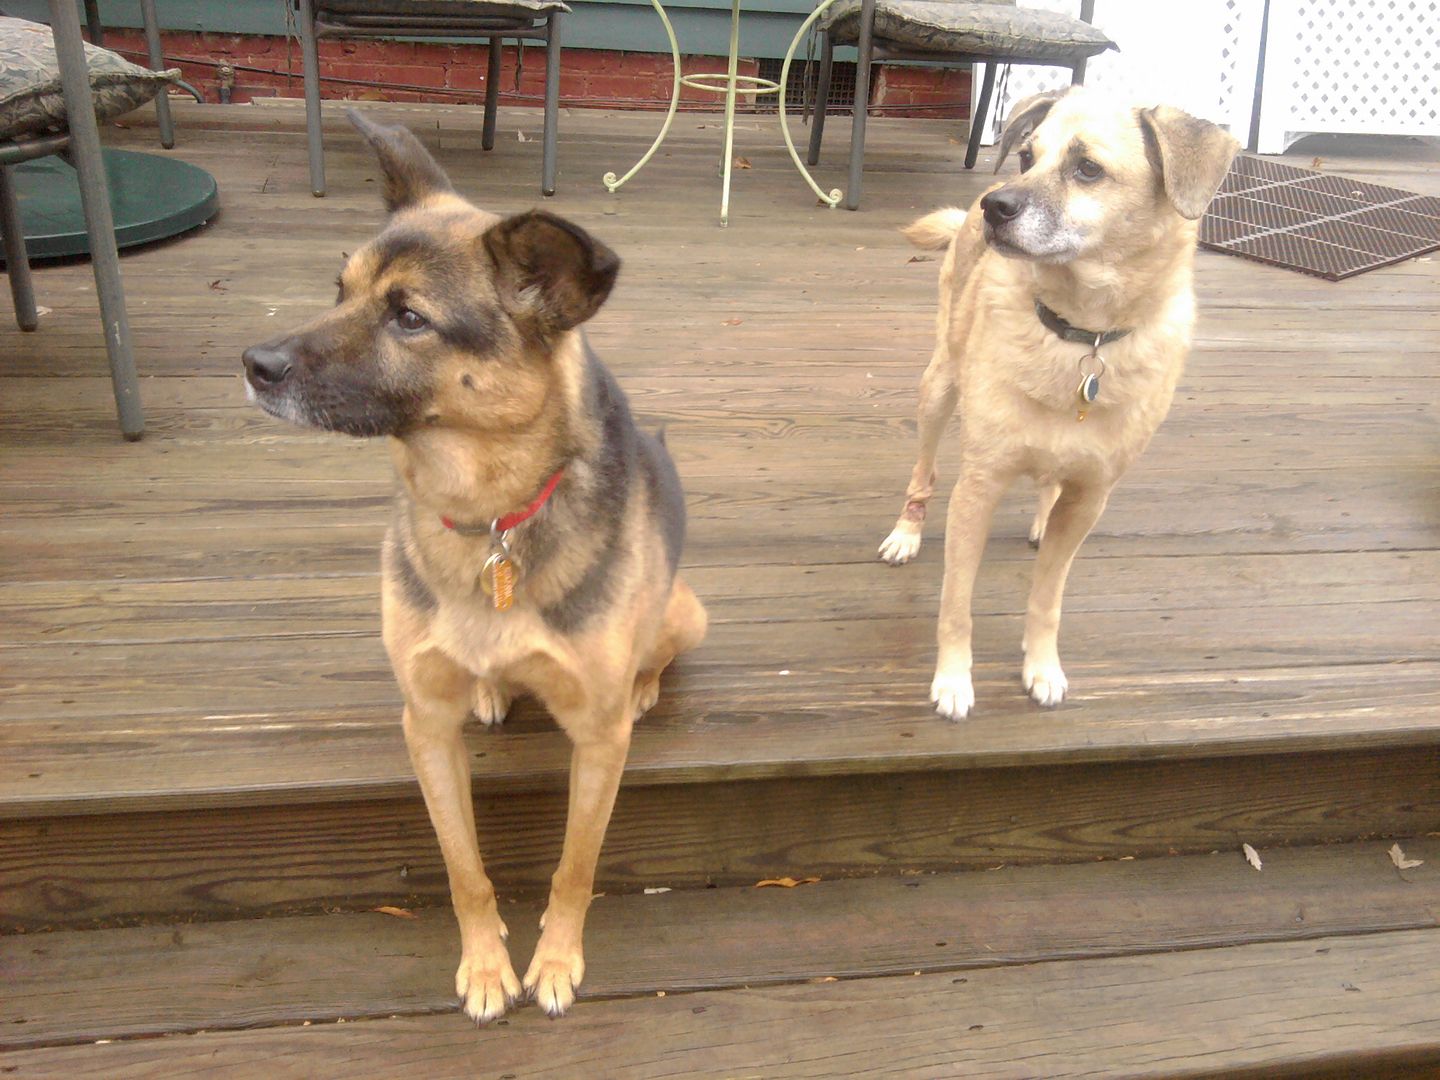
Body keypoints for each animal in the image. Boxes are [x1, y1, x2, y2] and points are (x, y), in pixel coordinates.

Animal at [244, 112, 705, 1025]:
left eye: (409, 317)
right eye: (338, 288)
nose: (254, 364)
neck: (489, 513)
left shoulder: (598, 743)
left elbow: (575, 868)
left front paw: (554, 961)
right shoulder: (424, 724)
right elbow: (464, 870)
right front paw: (488, 966)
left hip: (688, 611)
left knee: (656, 652)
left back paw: (644, 681)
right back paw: (492, 689)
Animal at [875, 88, 1238, 722]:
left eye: (1087, 168)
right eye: (1026, 156)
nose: (994, 206)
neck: (1081, 335)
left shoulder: (1091, 498)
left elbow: (1048, 596)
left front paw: (1042, 667)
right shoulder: (978, 489)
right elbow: (956, 602)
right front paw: (953, 679)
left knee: (1050, 486)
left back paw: (1043, 516)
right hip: (937, 389)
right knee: (924, 473)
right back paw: (907, 532)